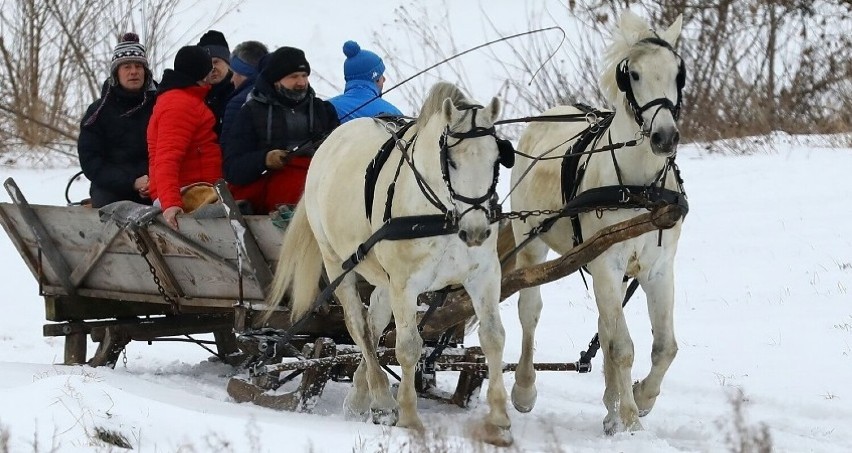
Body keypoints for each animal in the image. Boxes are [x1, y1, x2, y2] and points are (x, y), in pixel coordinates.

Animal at [266, 82, 512, 444]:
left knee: (373, 324)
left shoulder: (484, 276)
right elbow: (408, 346)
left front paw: (500, 422)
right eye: (451, 161)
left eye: (497, 158)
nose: (476, 230)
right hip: (338, 263)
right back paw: (382, 399)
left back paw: (360, 396)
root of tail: (331, 140)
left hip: (383, 278)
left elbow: (494, 337)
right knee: (358, 326)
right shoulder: (406, 284)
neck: (440, 215)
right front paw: (409, 418)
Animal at [510, 11, 688, 434]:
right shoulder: (607, 264)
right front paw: (630, 421)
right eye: (633, 74)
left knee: (606, 328)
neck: (640, 189)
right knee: (530, 309)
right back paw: (524, 390)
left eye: (678, 72)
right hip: (530, 238)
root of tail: (547, 115)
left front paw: (638, 400)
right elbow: (622, 347)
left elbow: (663, 347)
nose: (665, 137)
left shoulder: (657, 268)